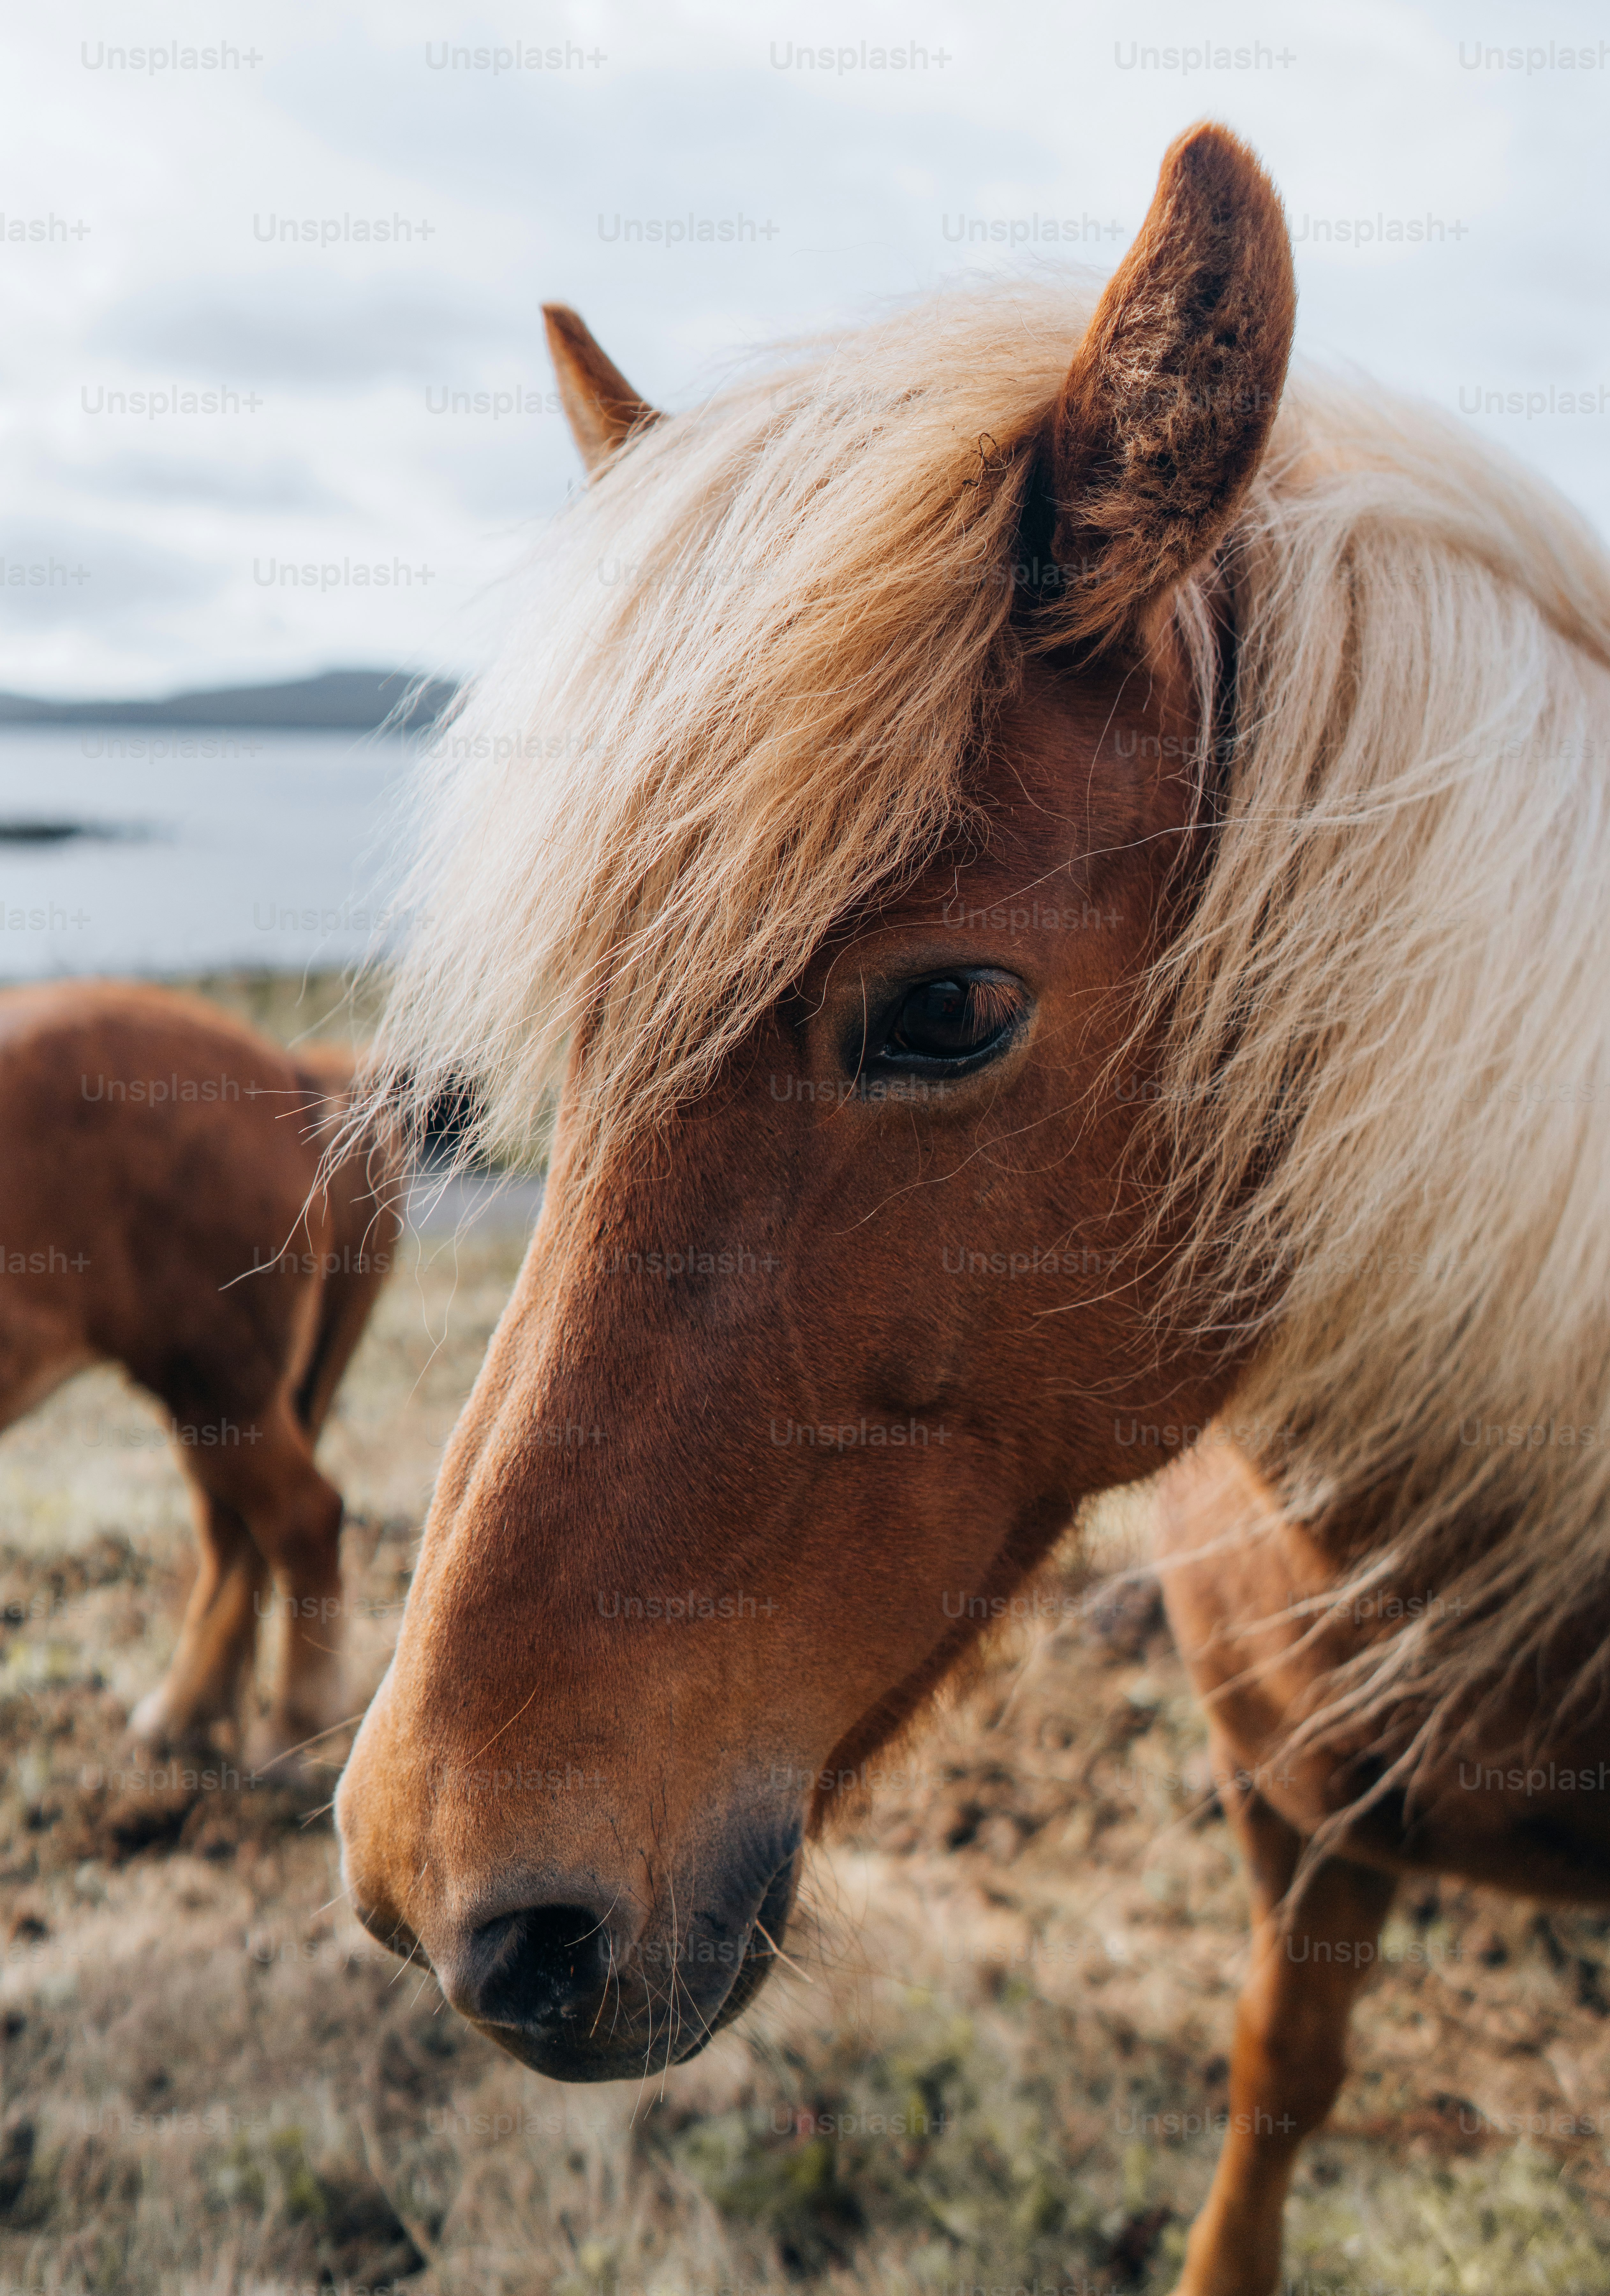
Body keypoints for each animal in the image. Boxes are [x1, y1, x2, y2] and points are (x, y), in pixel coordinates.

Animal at [0, 979, 399, 1772]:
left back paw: (292, 1729)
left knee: (303, 1520)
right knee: (233, 1535)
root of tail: (295, 1076)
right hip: (212, 1404)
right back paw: (186, 1714)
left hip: (220, 1390)